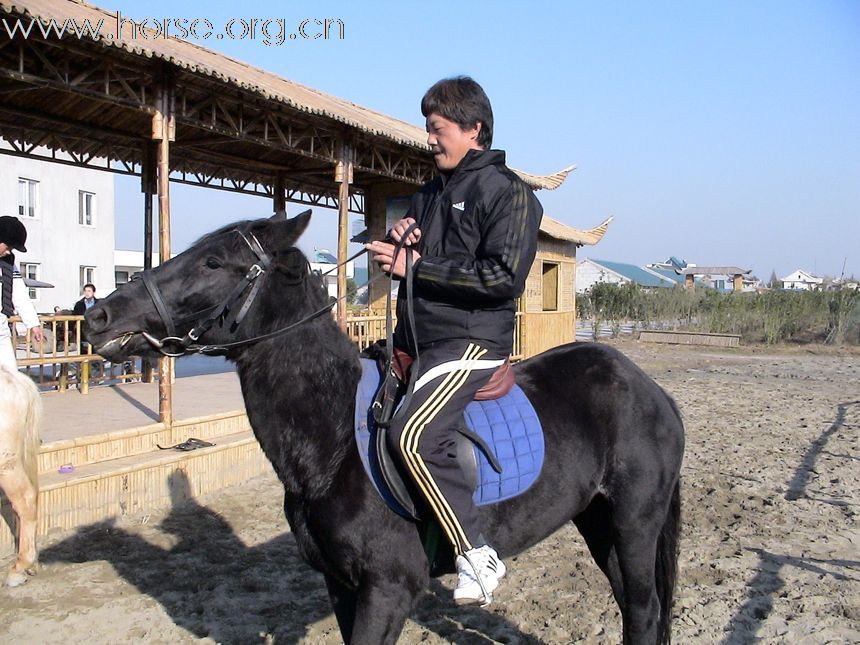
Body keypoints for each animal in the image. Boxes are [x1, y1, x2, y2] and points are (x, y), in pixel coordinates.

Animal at [85, 213, 684, 644]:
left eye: (212, 261)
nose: (97, 316)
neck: (331, 444)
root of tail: (648, 388)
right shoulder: (342, 586)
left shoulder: (388, 589)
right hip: (598, 521)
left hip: (633, 521)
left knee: (642, 609)